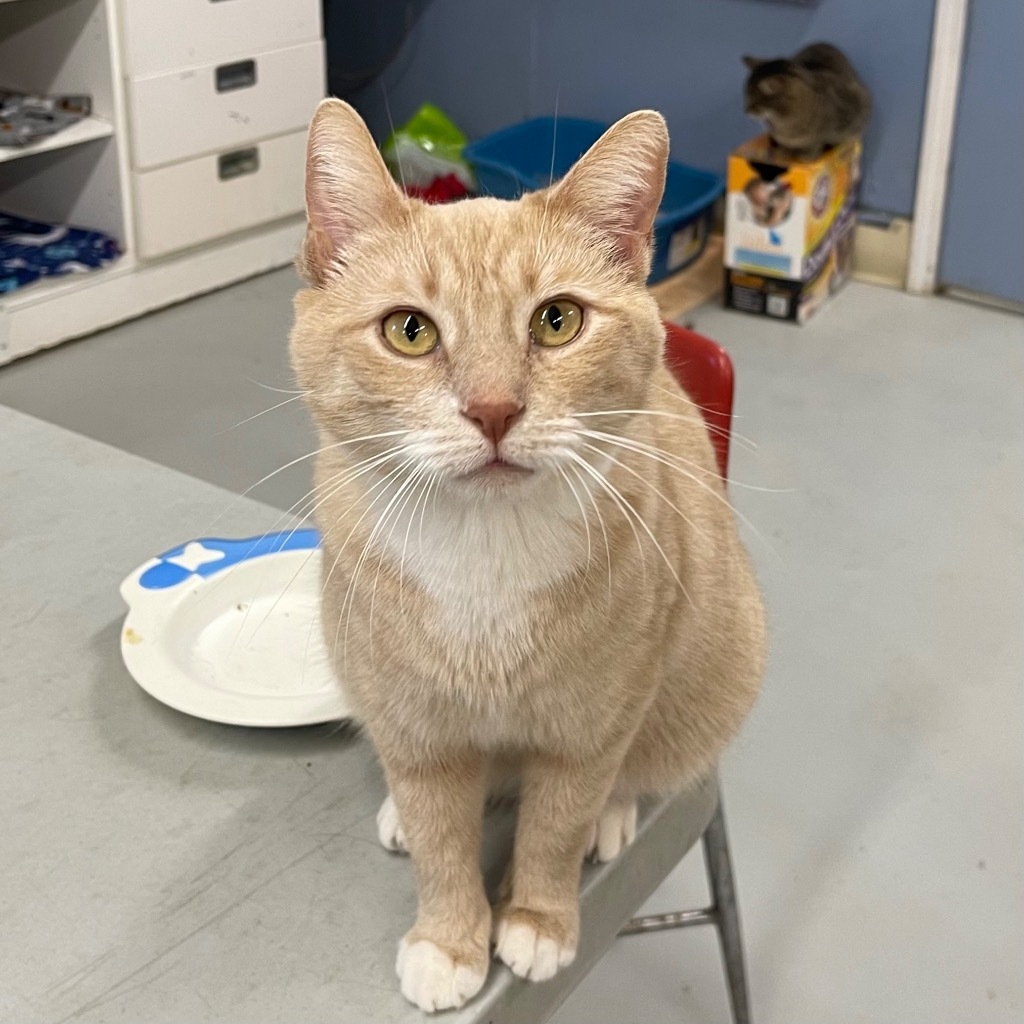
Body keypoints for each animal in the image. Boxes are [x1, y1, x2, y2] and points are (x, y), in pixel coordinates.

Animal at [288, 99, 761, 1011]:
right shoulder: (416, 727)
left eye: (557, 320)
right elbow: (441, 837)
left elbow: (556, 823)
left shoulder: (591, 726)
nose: (495, 409)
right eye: (409, 331)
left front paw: (538, 921)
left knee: (629, 776)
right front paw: (449, 939)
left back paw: (613, 818)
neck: (484, 549)